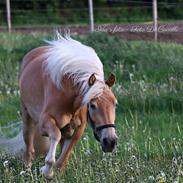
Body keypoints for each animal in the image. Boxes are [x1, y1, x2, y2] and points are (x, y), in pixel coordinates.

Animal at [18, 32, 117, 178]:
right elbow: (55, 136)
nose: (110, 142)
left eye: (115, 104)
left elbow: (62, 159)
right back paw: (27, 169)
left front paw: (53, 172)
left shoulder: (76, 131)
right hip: (27, 117)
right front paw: (46, 170)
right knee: (29, 146)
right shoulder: (45, 123)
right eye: (92, 105)